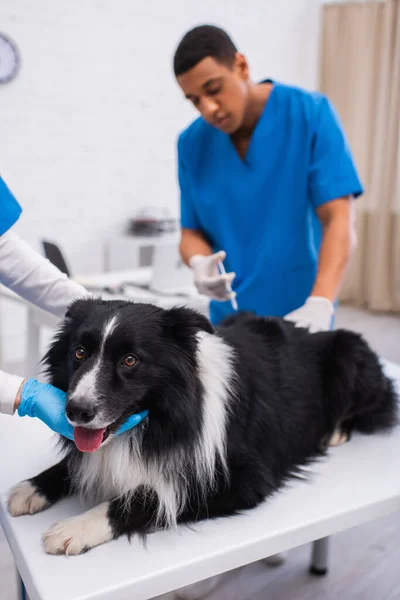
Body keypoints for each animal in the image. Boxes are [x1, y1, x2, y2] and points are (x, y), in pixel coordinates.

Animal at [7, 298, 398, 556]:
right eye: (79, 353)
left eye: (130, 360)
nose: (75, 411)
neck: (160, 416)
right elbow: (75, 462)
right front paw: (33, 487)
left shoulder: (243, 477)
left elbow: (148, 496)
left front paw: (77, 527)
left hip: (351, 353)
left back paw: (337, 431)